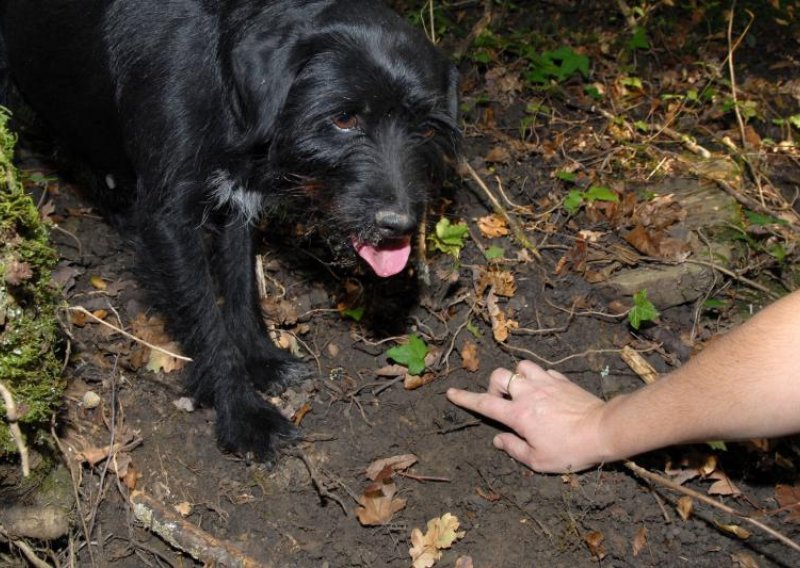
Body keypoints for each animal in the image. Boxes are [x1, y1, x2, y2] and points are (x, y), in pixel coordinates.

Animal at [3, 0, 460, 460]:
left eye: (426, 128)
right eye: (344, 118)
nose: (400, 226)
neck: (221, 77)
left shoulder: (238, 202)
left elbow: (241, 288)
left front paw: (261, 359)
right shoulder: (171, 221)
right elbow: (205, 317)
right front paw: (242, 413)